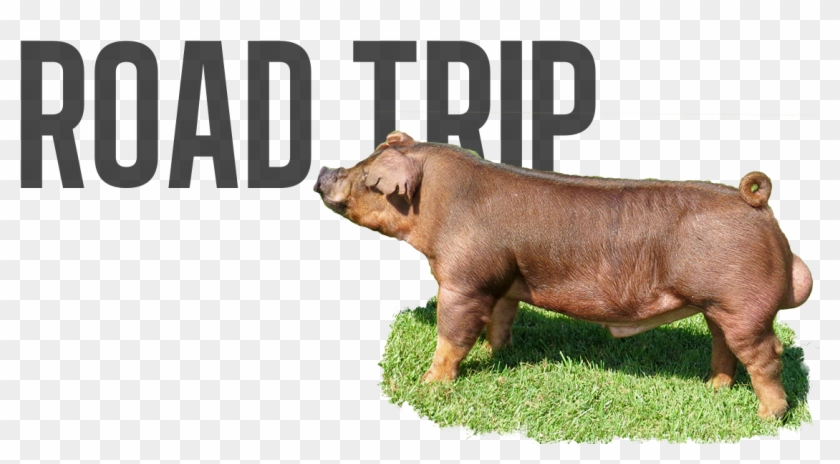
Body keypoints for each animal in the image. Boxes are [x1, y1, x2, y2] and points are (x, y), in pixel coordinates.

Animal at [314, 131, 812, 420]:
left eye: (366, 175)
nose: (322, 171)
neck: (439, 203)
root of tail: (755, 203)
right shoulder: (503, 280)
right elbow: (501, 320)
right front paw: (498, 356)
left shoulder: (464, 279)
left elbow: (451, 334)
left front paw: (429, 385)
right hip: (719, 306)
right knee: (723, 344)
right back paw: (714, 388)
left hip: (744, 304)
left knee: (766, 354)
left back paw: (768, 416)